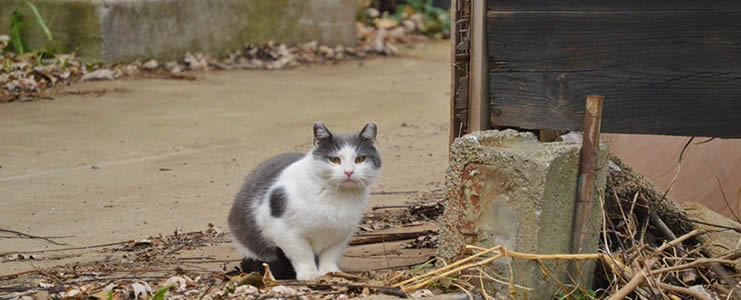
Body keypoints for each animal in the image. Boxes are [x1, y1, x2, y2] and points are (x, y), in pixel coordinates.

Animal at [228, 120, 382, 280]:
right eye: (334, 159)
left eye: (360, 159)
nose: (349, 172)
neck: (337, 197)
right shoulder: (285, 231)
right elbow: (302, 254)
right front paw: (309, 274)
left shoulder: (342, 233)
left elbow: (330, 254)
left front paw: (330, 272)